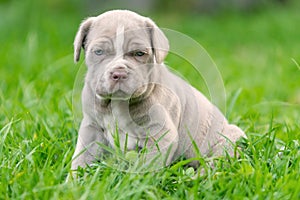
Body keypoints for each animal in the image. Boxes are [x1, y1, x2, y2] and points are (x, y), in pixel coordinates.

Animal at [71, 9, 246, 170]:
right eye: (99, 52)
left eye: (139, 54)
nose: (119, 73)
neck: (118, 103)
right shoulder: (91, 129)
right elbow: (81, 158)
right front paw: (73, 181)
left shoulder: (160, 134)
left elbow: (148, 164)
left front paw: (139, 181)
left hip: (229, 140)